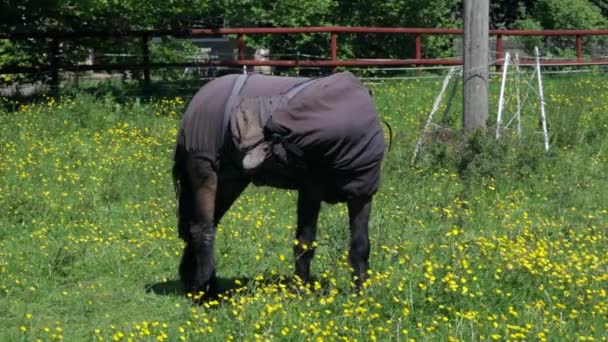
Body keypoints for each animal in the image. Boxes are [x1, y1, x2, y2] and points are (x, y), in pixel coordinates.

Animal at [173, 71, 384, 296]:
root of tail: (199, 98)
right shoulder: (310, 191)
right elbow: (304, 242)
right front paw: (301, 290)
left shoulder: (361, 195)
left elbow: (360, 246)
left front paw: (361, 293)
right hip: (205, 172)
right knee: (202, 229)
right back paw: (204, 291)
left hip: (229, 181)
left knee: (203, 225)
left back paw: (195, 280)